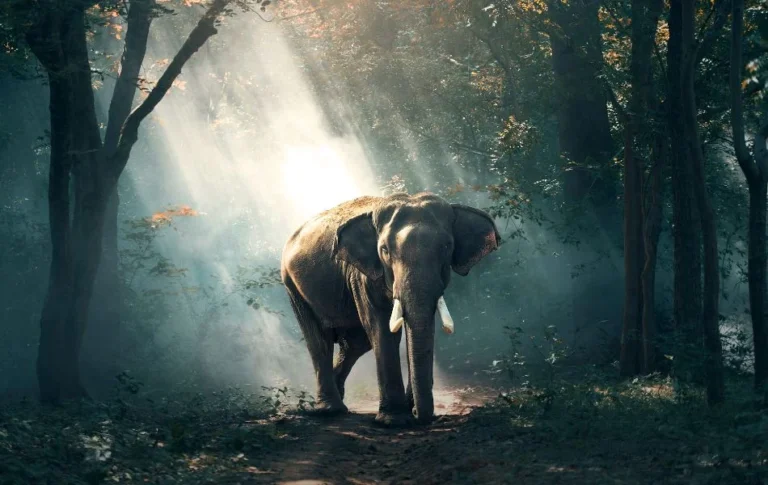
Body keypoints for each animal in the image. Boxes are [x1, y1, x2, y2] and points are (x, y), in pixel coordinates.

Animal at [280, 192, 500, 426]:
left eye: (447, 246)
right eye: (384, 250)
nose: (419, 415)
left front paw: (407, 410)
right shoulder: (363, 275)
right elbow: (382, 328)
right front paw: (394, 420)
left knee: (356, 343)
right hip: (292, 285)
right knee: (319, 340)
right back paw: (330, 410)